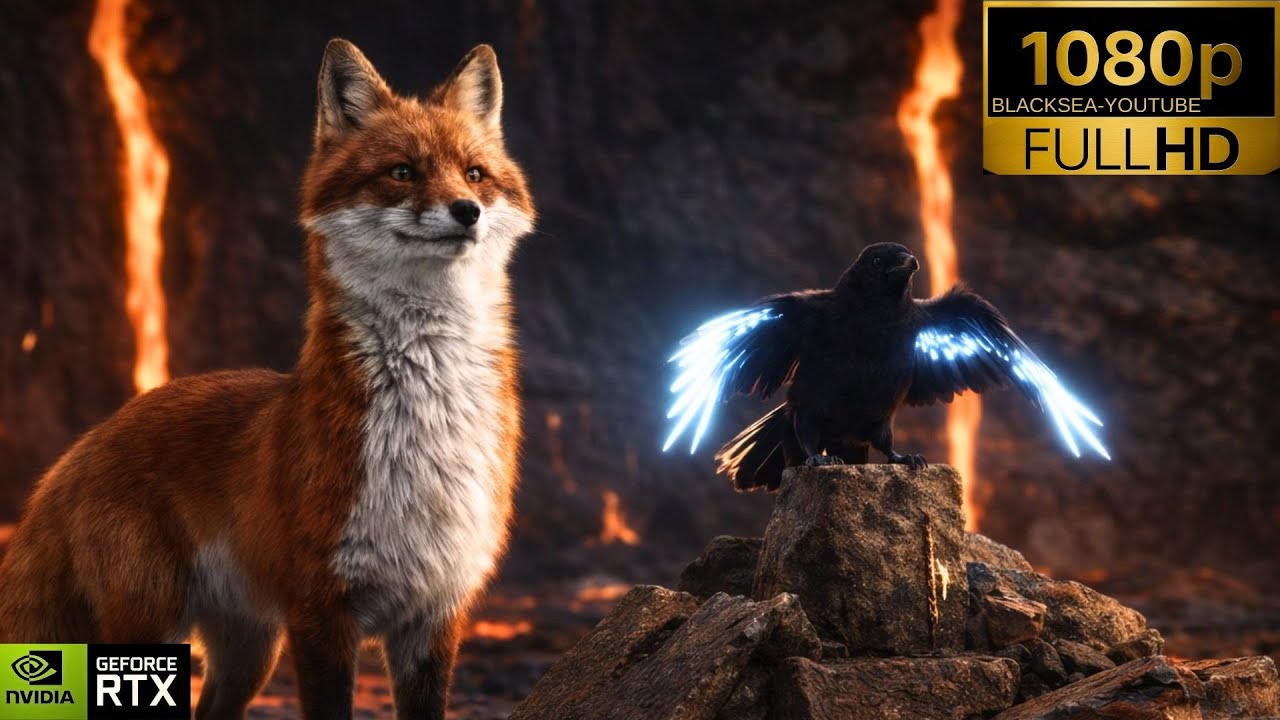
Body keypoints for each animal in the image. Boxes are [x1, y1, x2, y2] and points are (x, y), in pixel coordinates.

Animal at [0, 39, 534, 720]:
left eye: (474, 174)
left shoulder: (434, 614)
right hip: (153, 631)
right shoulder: (320, 611)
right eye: (401, 172)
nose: (466, 212)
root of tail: (82, 445)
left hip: (250, 652)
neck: (425, 431)